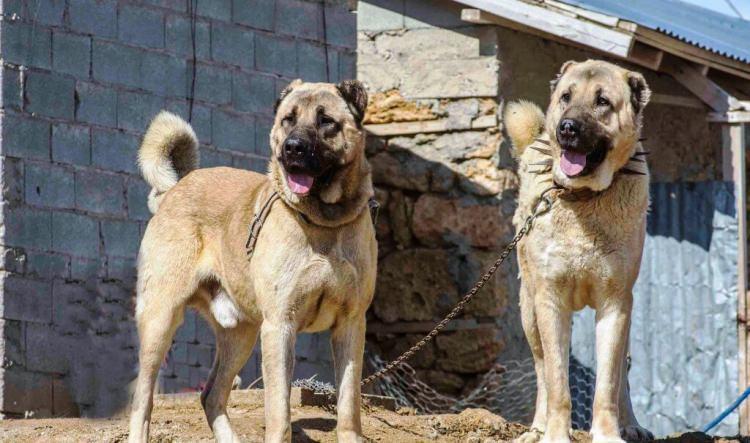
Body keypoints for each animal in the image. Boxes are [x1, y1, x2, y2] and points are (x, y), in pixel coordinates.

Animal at [129, 80, 378, 443]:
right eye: (288, 119)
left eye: (326, 121)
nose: (293, 148)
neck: (324, 221)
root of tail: (177, 187)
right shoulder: (279, 326)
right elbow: (279, 410)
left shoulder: (351, 324)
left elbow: (348, 405)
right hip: (160, 320)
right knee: (143, 398)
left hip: (241, 334)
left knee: (211, 395)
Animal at [508, 59, 656, 443]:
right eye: (566, 97)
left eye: (602, 101)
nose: (567, 128)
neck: (584, 198)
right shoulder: (549, 300)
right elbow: (557, 381)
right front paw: (554, 434)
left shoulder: (615, 303)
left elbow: (608, 383)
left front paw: (609, 434)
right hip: (529, 311)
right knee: (542, 370)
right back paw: (537, 428)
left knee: (622, 375)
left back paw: (631, 425)